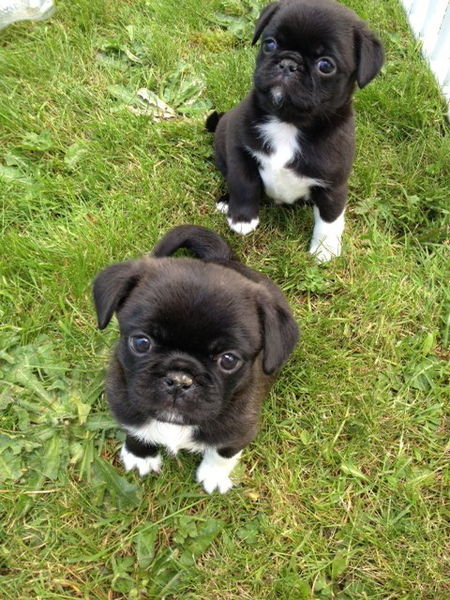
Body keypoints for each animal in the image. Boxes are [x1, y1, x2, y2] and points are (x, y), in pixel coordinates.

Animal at [92, 225, 298, 492]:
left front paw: (214, 475)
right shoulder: (124, 403)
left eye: (228, 360)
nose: (180, 379)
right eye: (141, 343)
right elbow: (136, 431)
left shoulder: (239, 430)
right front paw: (140, 456)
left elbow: (223, 453)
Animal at [207, 0, 384, 262]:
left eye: (325, 65)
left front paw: (325, 250)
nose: (288, 63)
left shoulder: (333, 184)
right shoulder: (240, 149)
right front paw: (242, 218)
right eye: (270, 44)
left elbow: (330, 218)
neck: (288, 123)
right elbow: (243, 182)